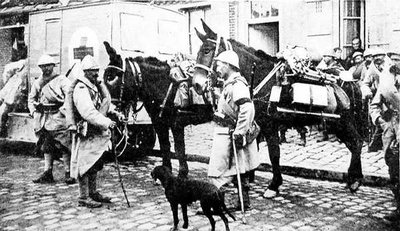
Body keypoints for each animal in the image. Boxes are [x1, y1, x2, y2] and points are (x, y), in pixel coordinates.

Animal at [103, 41, 214, 178]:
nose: (108, 112)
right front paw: (166, 172)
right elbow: (164, 146)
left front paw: (182, 175)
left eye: (111, 77)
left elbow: (179, 149)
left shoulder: (176, 124)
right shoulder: (159, 123)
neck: (165, 84)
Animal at [192, 19, 364, 197]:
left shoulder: (270, 125)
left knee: (356, 143)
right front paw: (247, 177)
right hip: (338, 124)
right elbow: (254, 146)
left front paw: (273, 185)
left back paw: (355, 181)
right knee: (354, 144)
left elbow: (274, 153)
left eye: (206, 50)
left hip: (342, 122)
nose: (196, 84)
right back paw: (353, 178)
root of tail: (353, 82)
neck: (262, 77)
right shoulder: (256, 122)